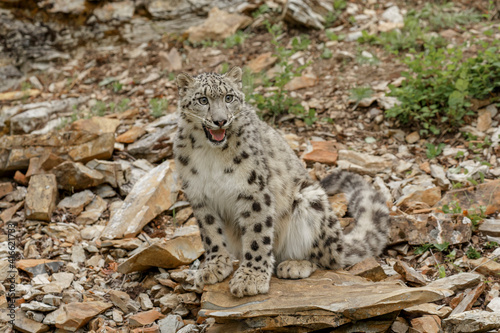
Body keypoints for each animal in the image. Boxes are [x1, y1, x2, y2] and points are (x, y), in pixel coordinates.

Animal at [174, 66, 388, 296]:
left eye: (229, 97)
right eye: (203, 99)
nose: (220, 120)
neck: (211, 154)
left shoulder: (253, 189)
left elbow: (257, 235)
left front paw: (251, 278)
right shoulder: (199, 195)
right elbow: (211, 233)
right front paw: (214, 267)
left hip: (311, 199)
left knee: (329, 260)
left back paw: (295, 265)